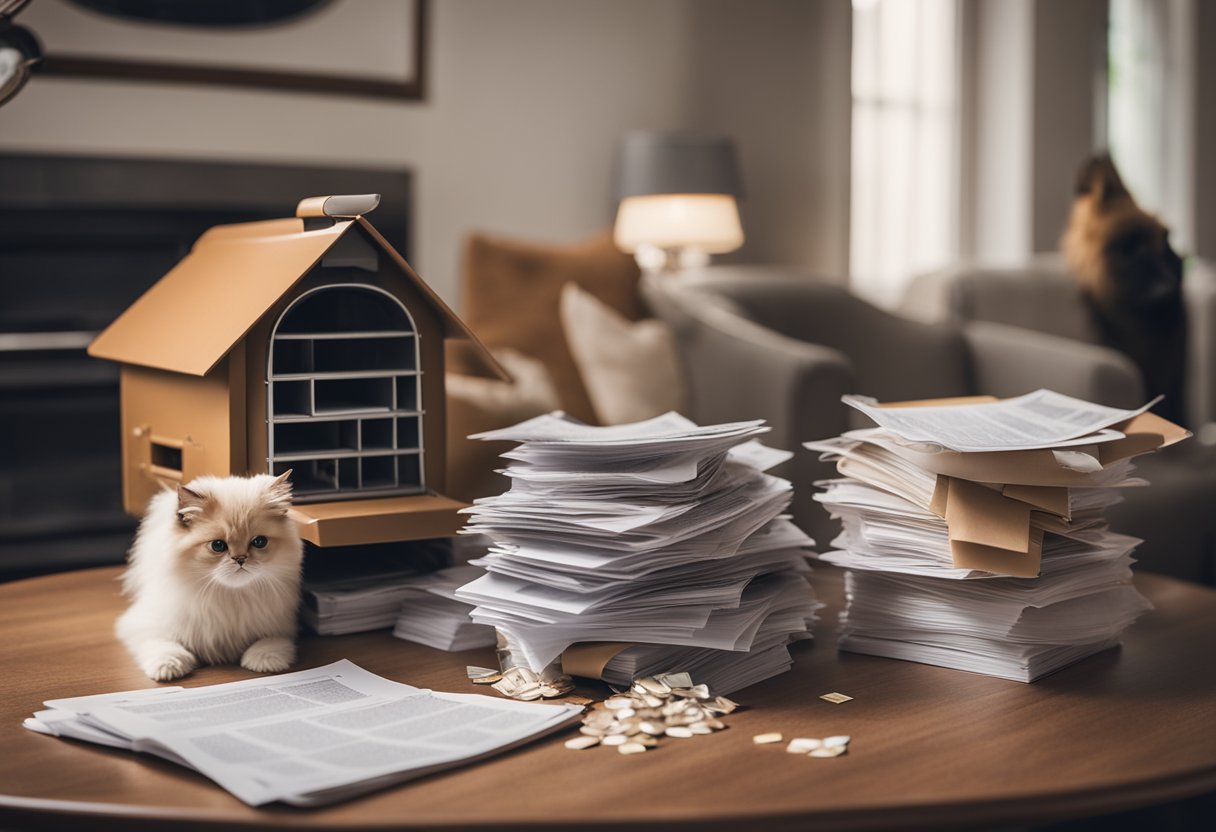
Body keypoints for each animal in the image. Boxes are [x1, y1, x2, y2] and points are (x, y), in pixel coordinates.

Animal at [115, 474, 304, 681]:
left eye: (259, 542)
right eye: (218, 546)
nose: (240, 559)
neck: (230, 597)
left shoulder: (281, 627)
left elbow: (270, 643)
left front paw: (264, 661)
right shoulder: (144, 625)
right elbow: (163, 645)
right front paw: (168, 667)